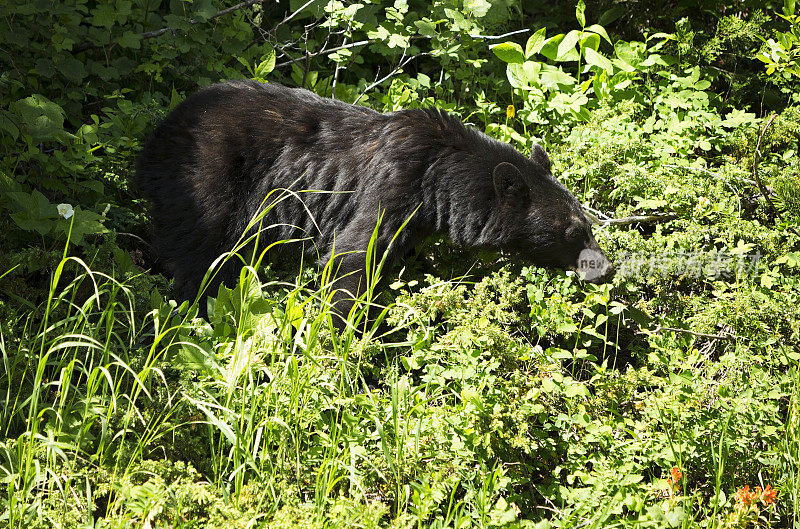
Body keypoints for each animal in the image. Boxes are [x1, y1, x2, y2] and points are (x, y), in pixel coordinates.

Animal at [136, 81, 612, 322]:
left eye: (588, 224)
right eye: (572, 229)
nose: (604, 267)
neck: (439, 177)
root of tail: (157, 132)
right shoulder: (394, 187)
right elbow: (353, 255)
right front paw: (337, 333)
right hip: (206, 176)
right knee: (199, 251)